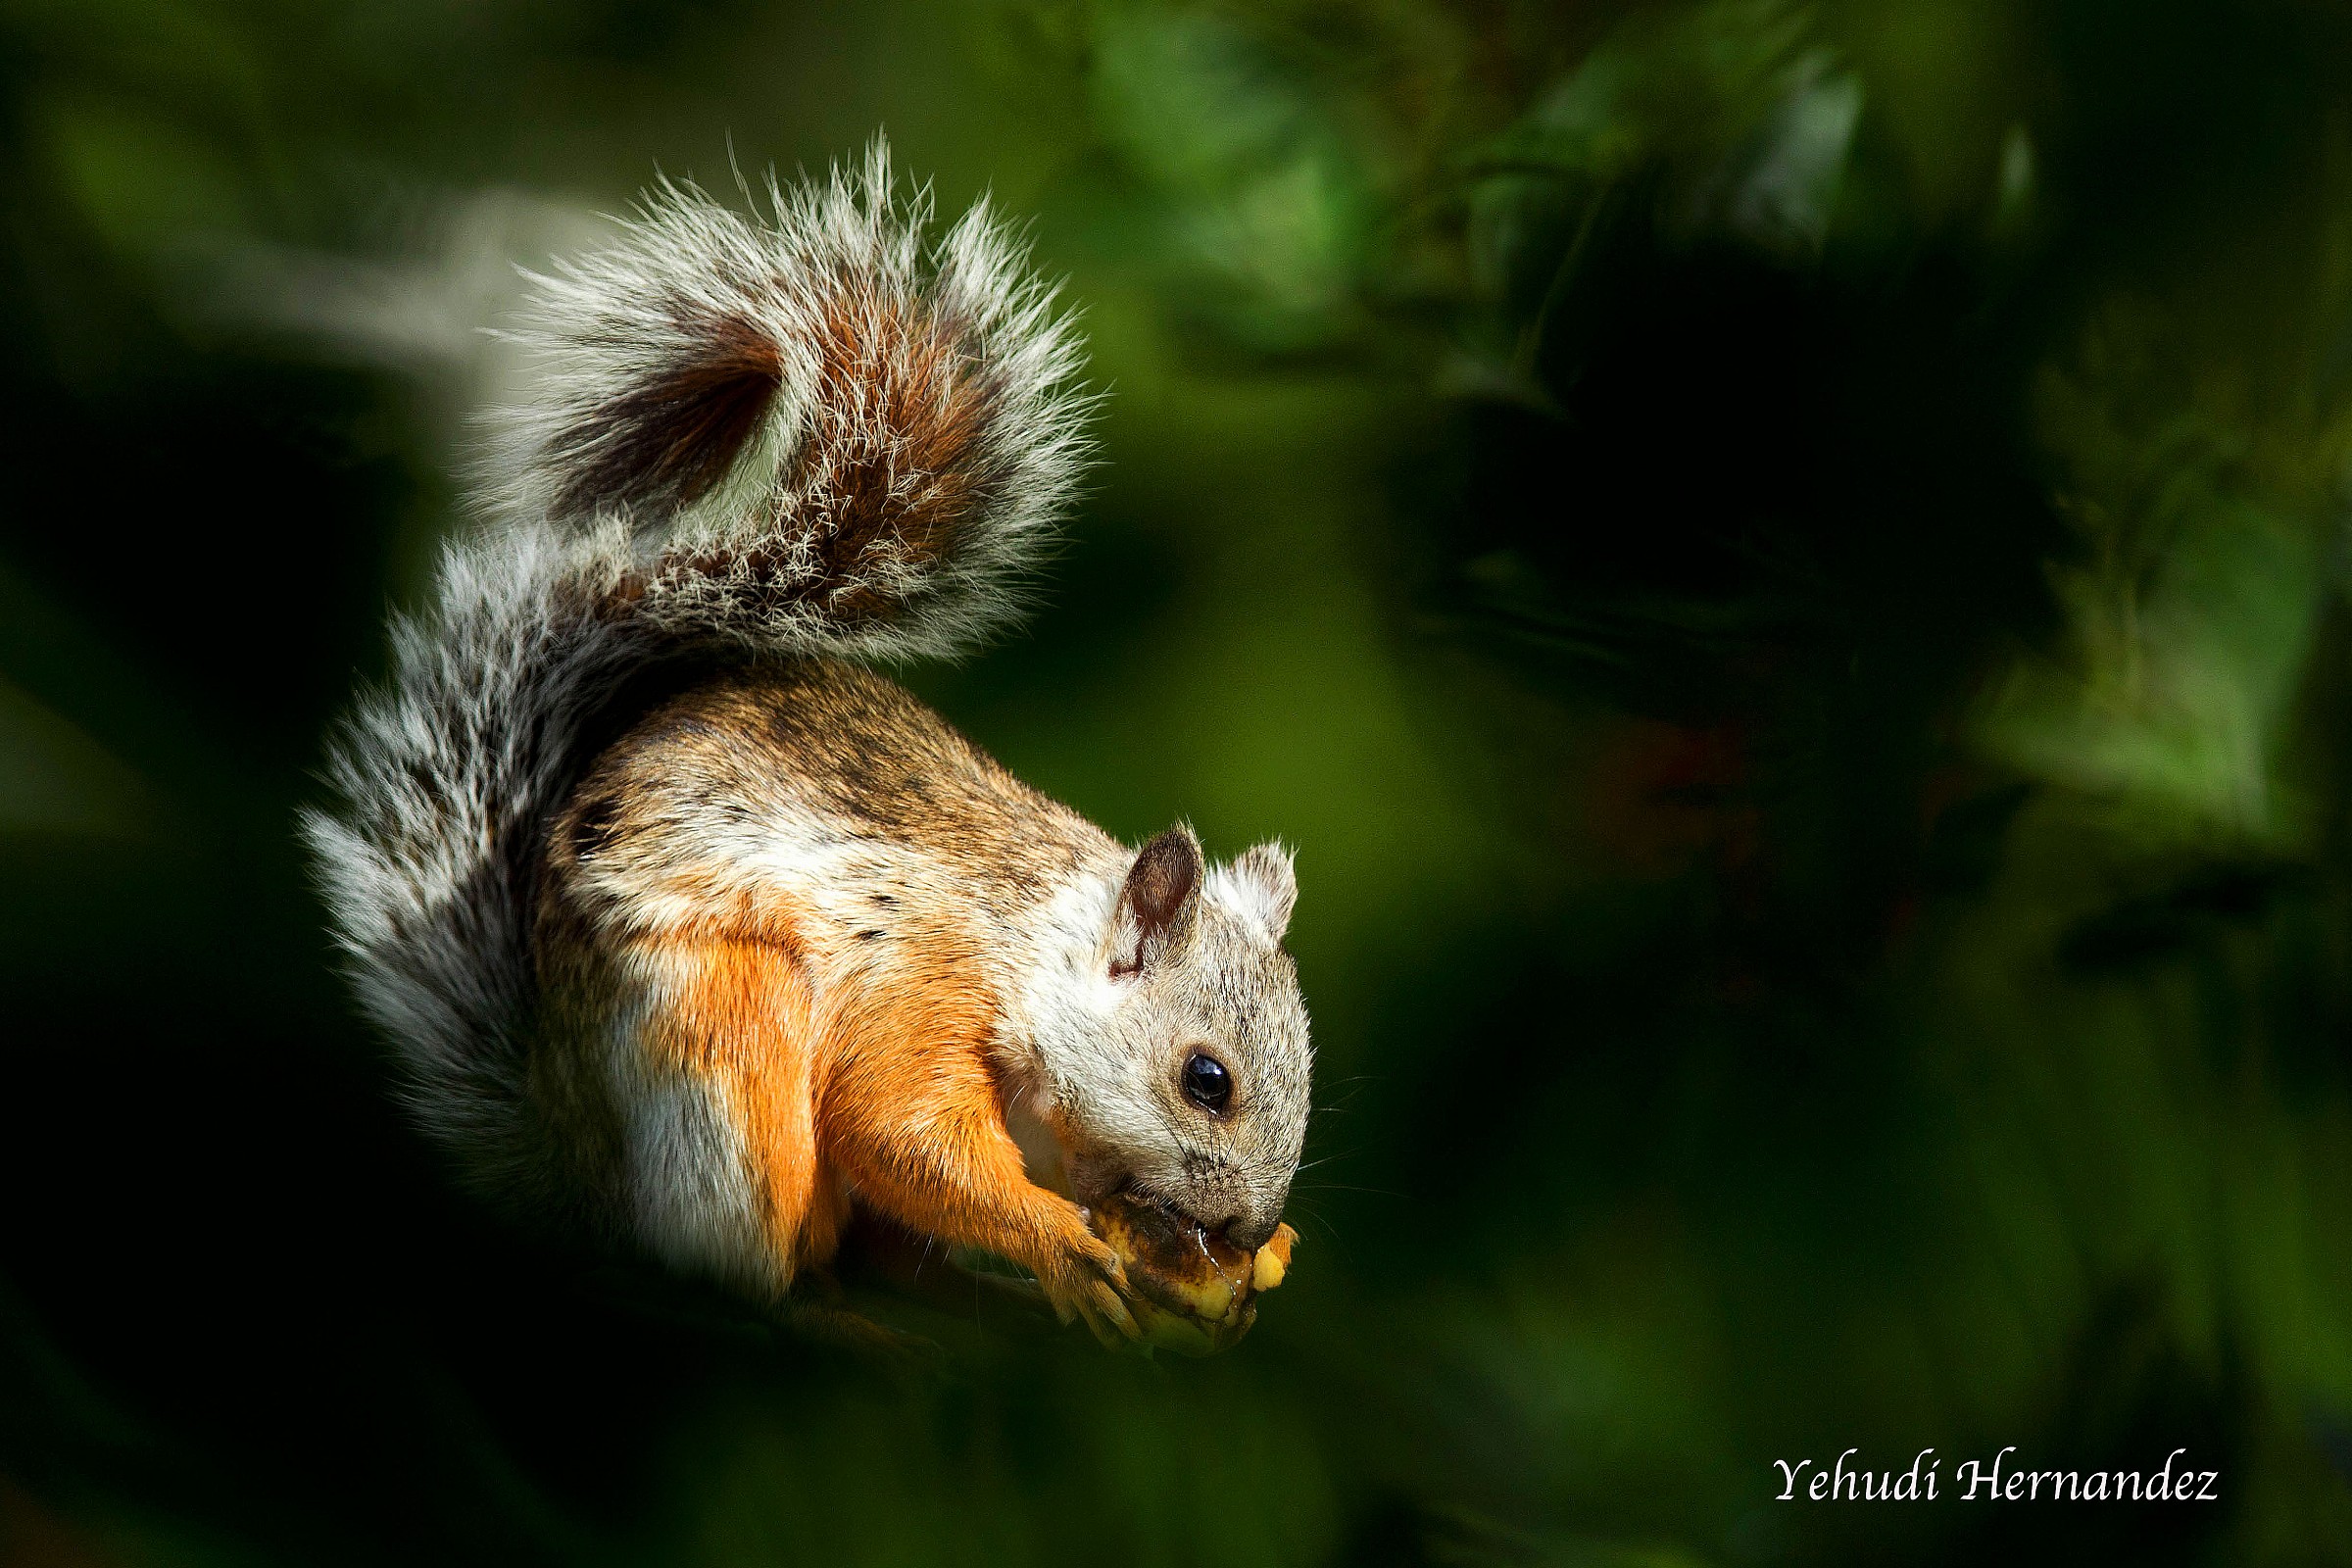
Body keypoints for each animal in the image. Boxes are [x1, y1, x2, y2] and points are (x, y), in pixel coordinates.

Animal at [301, 143, 1312, 1345]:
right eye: (1206, 1079)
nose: (1247, 1228)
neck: (1035, 954)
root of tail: (574, 1163)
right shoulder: (924, 978)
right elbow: (899, 1129)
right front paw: (1057, 1241)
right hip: (721, 1044)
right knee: (750, 1263)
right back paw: (823, 1311)